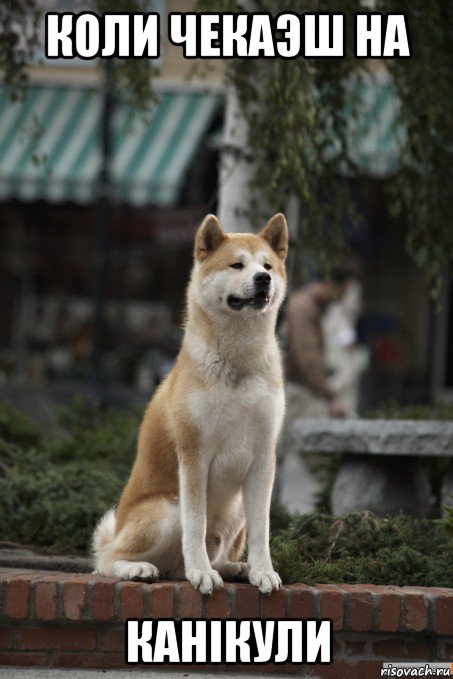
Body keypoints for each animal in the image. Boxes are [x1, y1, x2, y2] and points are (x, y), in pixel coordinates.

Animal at [92, 212, 288, 596]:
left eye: (268, 265)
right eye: (237, 264)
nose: (263, 279)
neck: (238, 364)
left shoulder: (263, 457)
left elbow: (263, 529)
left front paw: (263, 571)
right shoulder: (194, 454)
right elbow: (195, 525)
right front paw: (201, 573)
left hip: (236, 509)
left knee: (206, 556)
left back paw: (234, 568)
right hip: (167, 508)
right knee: (107, 559)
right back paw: (142, 568)